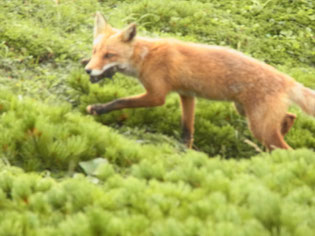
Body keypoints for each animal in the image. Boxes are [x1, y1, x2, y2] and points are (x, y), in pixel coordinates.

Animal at [84, 12, 315, 150]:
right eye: (95, 52)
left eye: (109, 55)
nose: (88, 70)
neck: (146, 58)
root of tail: (288, 80)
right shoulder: (187, 95)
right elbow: (187, 131)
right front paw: (185, 153)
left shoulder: (156, 95)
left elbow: (121, 101)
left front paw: (98, 109)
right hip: (248, 113)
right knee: (290, 117)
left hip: (258, 125)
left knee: (286, 148)